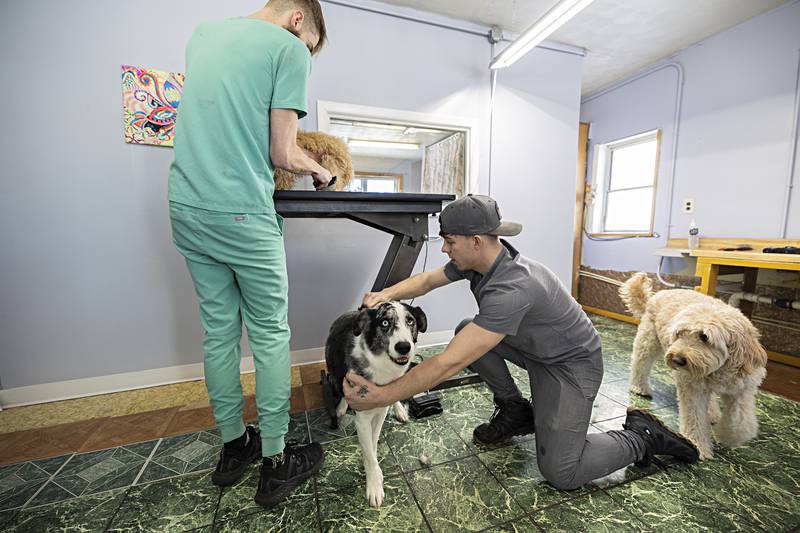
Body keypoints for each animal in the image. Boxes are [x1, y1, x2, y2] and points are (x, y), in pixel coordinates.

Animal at [324, 302, 428, 504]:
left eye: (410, 321)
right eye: (384, 322)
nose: (404, 347)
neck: (381, 364)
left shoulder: (380, 411)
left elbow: (372, 444)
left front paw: (375, 474)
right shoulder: (362, 419)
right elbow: (369, 452)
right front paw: (374, 484)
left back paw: (399, 410)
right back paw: (341, 407)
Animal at [620, 272, 768, 460]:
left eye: (704, 337)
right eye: (679, 333)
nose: (677, 359)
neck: (718, 370)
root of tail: (657, 295)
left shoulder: (743, 388)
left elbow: (741, 421)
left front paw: (727, 436)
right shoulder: (692, 389)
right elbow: (694, 418)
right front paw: (698, 446)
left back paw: (713, 413)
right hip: (648, 342)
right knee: (640, 364)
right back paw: (639, 387)